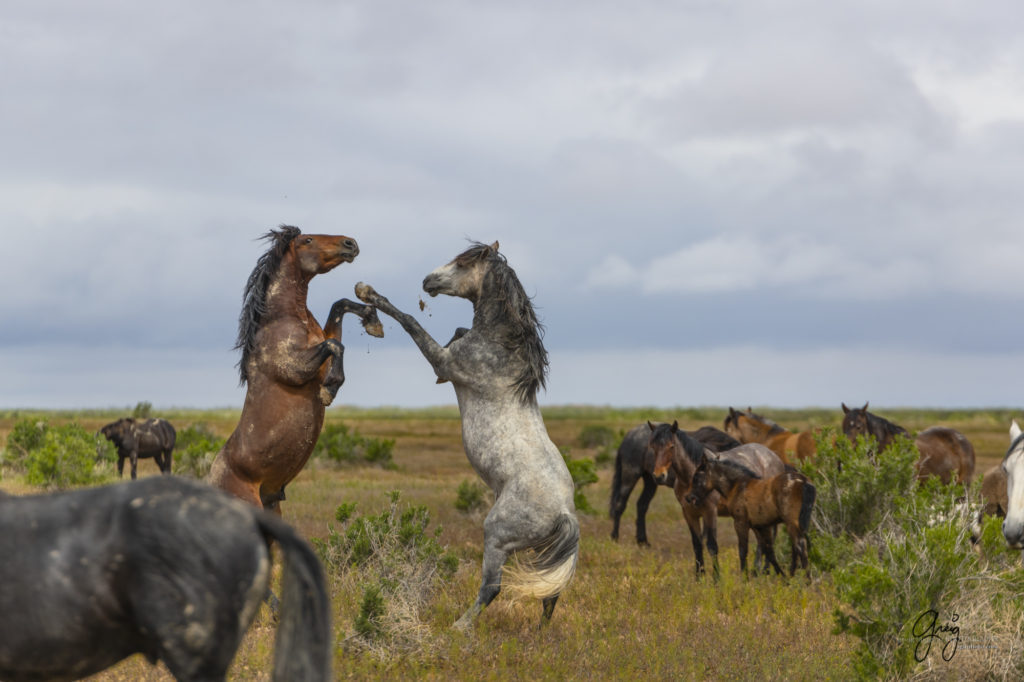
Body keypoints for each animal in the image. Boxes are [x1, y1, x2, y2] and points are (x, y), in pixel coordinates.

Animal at [207, 225, 385, 512]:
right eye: (308, 240)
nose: (350, 243)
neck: (285, 318)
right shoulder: (295, 367)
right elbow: (335, 345)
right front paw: (329, 391)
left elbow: (340, 306)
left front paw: (373, 322)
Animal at [354, 241, 581, 630]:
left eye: (461, 264)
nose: (428, 280)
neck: (501, 349)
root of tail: (564, 513)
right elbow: (456, 328)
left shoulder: (444, 360)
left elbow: (410, 321)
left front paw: (370, 296)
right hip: (543, 551)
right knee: (550, 592)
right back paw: (540, 633)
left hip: (497, 537)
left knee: (492, 587)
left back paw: (460, 627)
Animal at [606, 421, 737, 544]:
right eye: (652, 447)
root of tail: (629, 435)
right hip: (630, 476)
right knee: (620, 504)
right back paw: (614, 537)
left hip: (650, 481)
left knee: (641, 505)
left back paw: (643, 541)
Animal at [647, 421, 782, 577]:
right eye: (653, 446)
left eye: (671, 446)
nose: (658, 476)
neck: (691, 477)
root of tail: (774, 457)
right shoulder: (689, 513)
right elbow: (697, 545)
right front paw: (699, 577)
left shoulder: (710, 511)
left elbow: (712, 545)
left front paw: (717, 578)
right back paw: (758, 570)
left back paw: (763, 570)